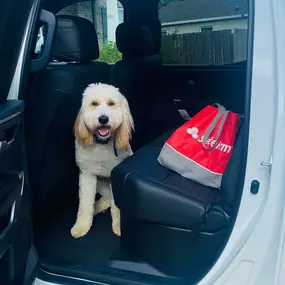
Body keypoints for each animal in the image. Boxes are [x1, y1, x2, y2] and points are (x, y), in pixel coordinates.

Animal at [70, 82, 134, 237]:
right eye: (94, 103)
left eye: (111, 103)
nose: (103, 119)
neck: (102, 143)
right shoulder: (87, 175)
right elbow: (85, 203)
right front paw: (81, 226)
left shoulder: (114, 177)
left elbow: (117, 205)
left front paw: (119, 225)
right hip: (99, 183)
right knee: (105, 198)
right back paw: (97, 207)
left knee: (110, 200)